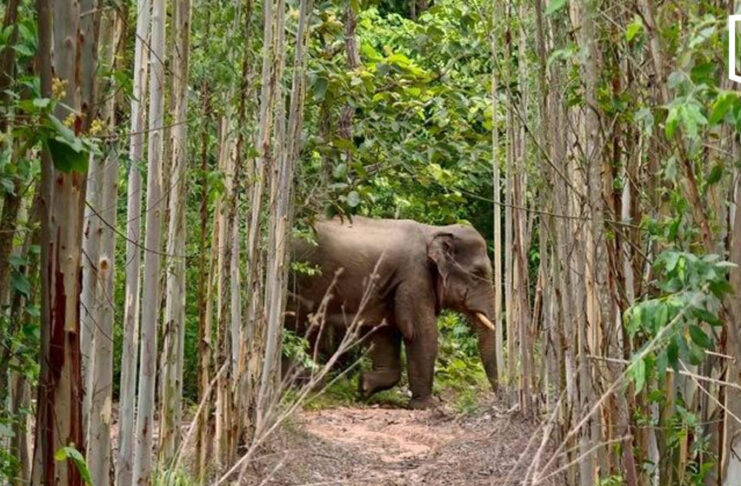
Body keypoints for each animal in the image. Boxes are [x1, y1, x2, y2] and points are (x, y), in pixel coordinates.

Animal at [287, 216, 498, 409]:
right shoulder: (414, 278)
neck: (434, 230)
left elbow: (385, 333)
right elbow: (420, 333)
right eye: (477, 274)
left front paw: (364, 386)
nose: (499, 397)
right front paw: (426, 406)